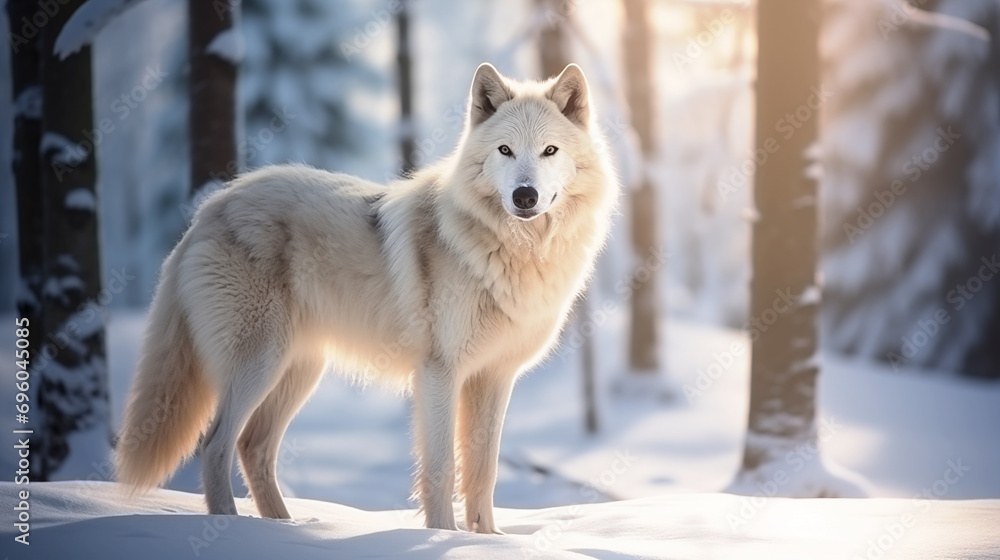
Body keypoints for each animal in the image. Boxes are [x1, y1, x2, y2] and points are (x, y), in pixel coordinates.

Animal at [115, 62, 618, 533]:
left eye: (549, 151)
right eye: (505, 151)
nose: (525, 195)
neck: (515, 252)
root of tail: (209, 209)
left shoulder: (494, 378)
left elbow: (483, 472)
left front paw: (488, 539)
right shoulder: (439, 373)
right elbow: (441, 469)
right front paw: (443, 536)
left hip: (298, 371)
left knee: (251, 448)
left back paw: (287, 527)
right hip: (260, 363)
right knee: (215, 444)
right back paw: (235, 528)